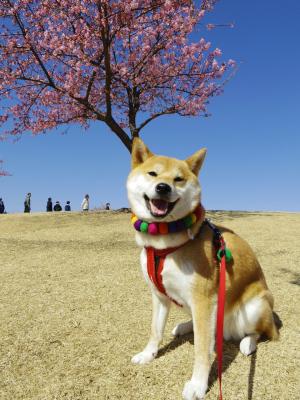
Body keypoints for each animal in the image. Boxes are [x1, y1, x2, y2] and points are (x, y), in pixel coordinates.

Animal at [126, 138, 276, 400]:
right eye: (153, 173)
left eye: (178, 179)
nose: (163, 187)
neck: (165, 243)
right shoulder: (159, 297)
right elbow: (155, 331)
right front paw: (148, 354)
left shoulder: (203, 300)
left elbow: (202, 352)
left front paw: (197, 385)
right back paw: (185, 326)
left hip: (255, 305)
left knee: (257, 332)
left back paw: (247, 343)